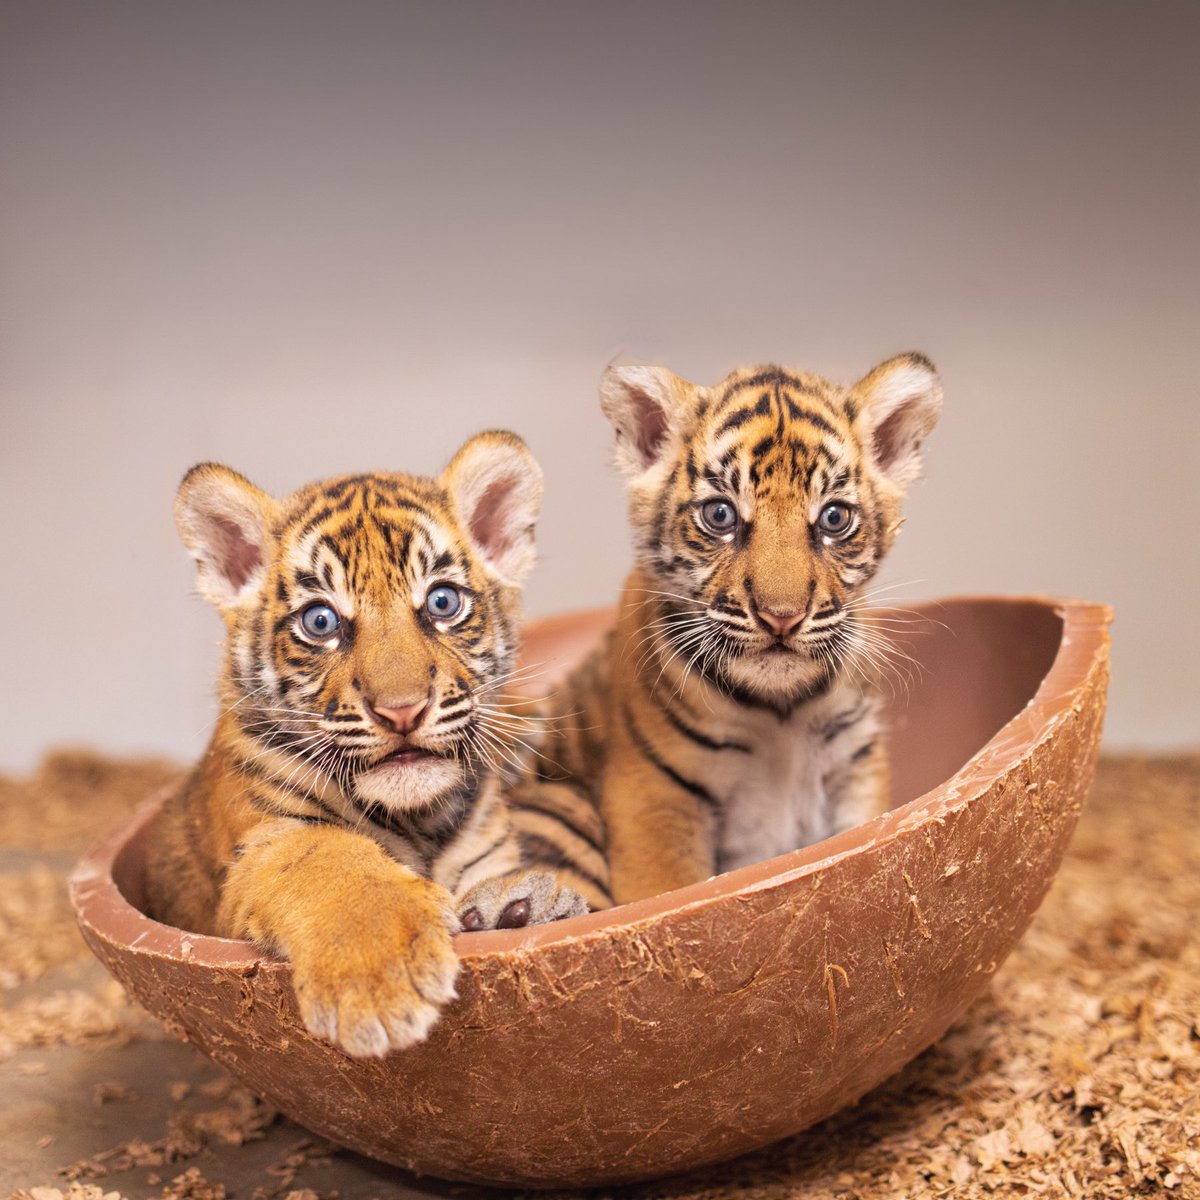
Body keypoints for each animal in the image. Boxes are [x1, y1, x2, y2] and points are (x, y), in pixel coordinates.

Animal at [144, 431, 586, 1058]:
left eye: (443, 602)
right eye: (321, 621)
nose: (402, 710)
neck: (421, 821)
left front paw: (518, 910)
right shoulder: (264, 845)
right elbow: (327, 858)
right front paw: (380, 979)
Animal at [507, 354, 943, 908]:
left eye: (834, 518)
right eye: (720, 515)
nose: (782, 616)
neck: (782, 710)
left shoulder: (855, 767)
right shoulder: (654, 797)